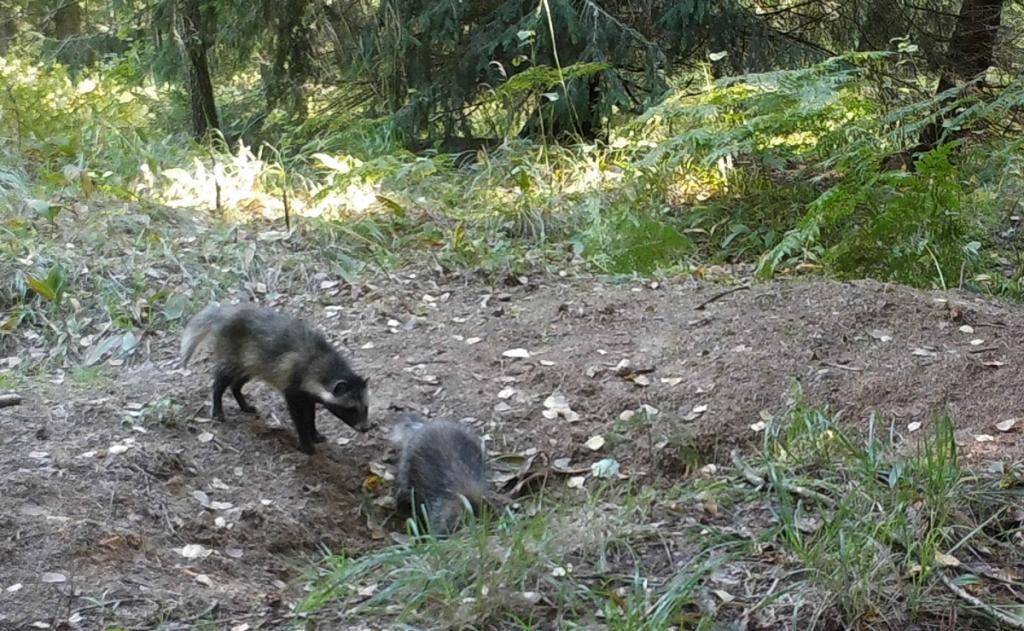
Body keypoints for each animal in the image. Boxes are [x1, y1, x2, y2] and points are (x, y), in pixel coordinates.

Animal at [181, 301, 372, 452]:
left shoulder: (309, 392)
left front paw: (314, 432)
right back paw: (217, 406)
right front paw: (305, 441)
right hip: (232, 351)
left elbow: (311, 414)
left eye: (366, 407)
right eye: (351, 409)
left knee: (237, 383)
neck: (323, 361)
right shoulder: (294, 386)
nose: (366, 428)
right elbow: (299, 416)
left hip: (251, 362)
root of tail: (226, 313)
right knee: (222, 380)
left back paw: (243, 402)